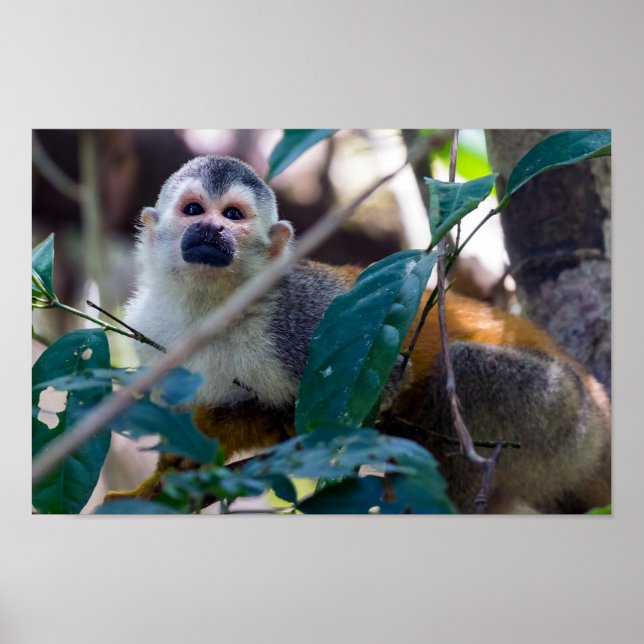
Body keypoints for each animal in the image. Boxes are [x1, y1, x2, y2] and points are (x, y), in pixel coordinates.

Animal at [113, 155, 611, 514]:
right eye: (193, 210)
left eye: (233, 215)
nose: (211, 227)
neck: (212, 308)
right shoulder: (153, 330)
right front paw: (167, 475)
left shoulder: (300, 315)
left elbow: (363, 400)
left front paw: (224, 428)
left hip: (562, 418)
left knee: (466, 372)